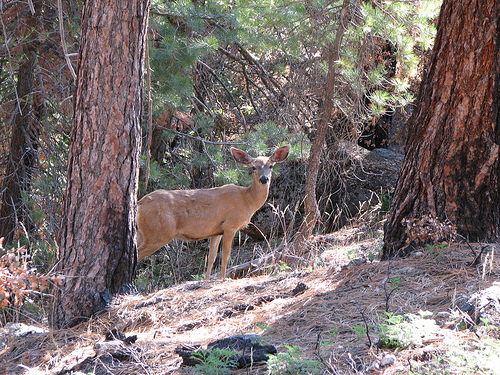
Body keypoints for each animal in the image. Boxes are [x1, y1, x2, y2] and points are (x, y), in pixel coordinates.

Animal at [136, 145, 290, 280]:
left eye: (271, 166)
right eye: (253, 167)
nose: (264, 179)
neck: (247, 200)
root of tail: (140, 203)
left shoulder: (216, 231)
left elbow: (212, 258)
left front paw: (206, 280)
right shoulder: (230, 225)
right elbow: (225, 256)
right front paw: (222, 279)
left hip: (142, 233)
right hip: (159, 232)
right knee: (137, 255)